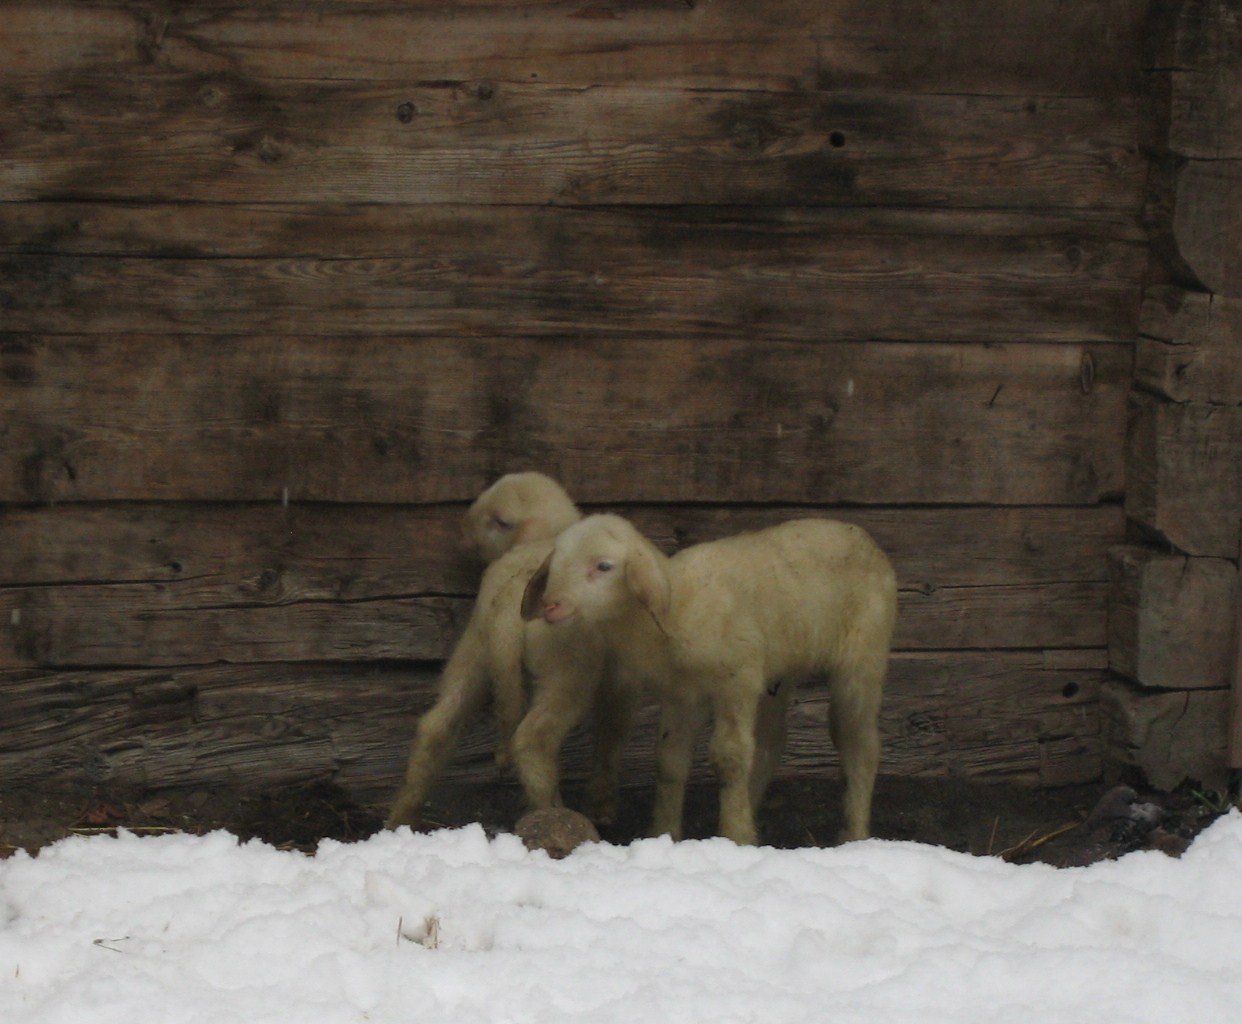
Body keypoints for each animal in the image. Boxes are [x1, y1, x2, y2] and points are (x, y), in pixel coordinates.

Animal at [382, 472, 630, 830]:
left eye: (498, 521)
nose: (463, 534)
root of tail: (511, 598)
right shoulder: (618, 677)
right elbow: (613, 730)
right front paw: (603, 806)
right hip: (567, 669)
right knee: (531, 740)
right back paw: (554, 814)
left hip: (474, 648)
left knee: (437, 725)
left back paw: (401, 818)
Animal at [519, 516, 899, 845]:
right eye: (556, 563)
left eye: (604, 566)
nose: (551, 605)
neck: (681, 604)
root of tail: (865, 538)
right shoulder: (681, 694)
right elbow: (670, 760)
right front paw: (664, 832)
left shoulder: (737, 680)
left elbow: (729, 757)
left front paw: (735, 835)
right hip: (776, 669)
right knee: (771, 742)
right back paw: (750, 806)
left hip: (863, 655)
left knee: (859, 741)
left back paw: (854, 832)